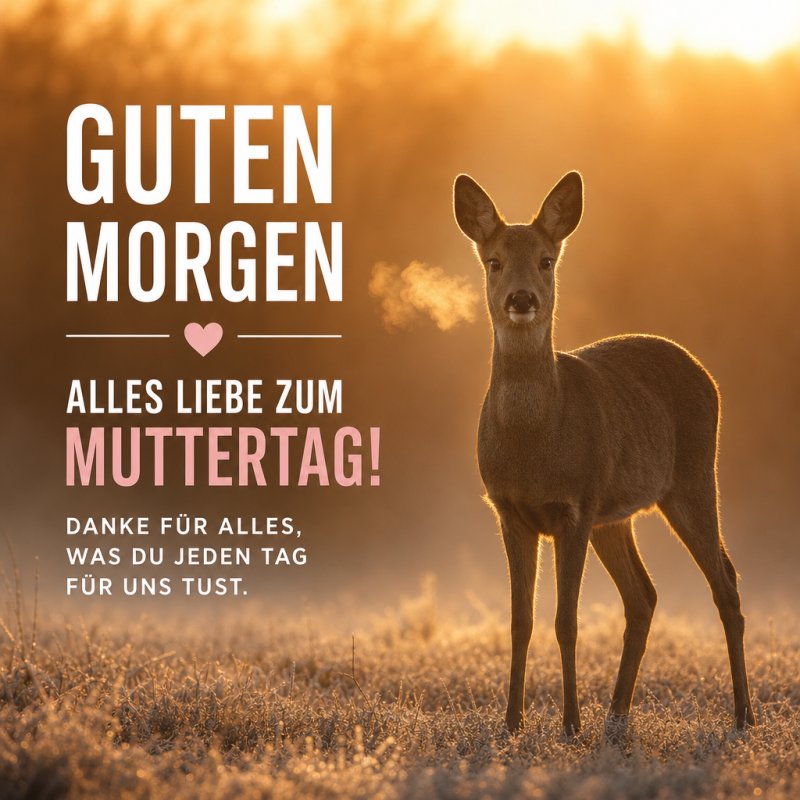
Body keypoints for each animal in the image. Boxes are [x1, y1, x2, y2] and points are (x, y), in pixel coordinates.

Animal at [453, 170, 755, 736]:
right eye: (494, 261)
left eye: (547, 259)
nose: (522, 299)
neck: (534, 442)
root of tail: (708, 376)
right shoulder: (509, 511)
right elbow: (520, 621)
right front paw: (511, 723)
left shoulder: (576, 504)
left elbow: (566, 622)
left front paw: (570, 724)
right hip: (616, 517)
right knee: (644, 596)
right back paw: (616, 713)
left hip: (692, 478)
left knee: (725, 582)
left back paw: (744, 716)